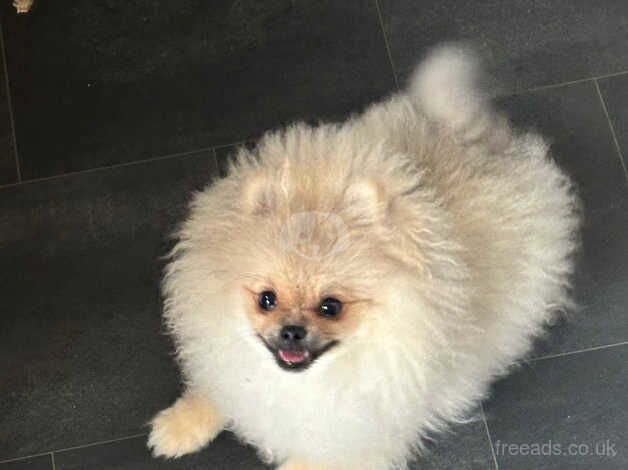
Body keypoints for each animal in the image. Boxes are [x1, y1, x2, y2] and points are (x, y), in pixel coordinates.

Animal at [147, 45, 580, 470]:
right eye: (266, 299)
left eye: (331, 306)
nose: (291, 331)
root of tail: (476, 139)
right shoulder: (225, 356)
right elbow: (219, 388)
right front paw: (179, 426)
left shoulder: (351, 440)